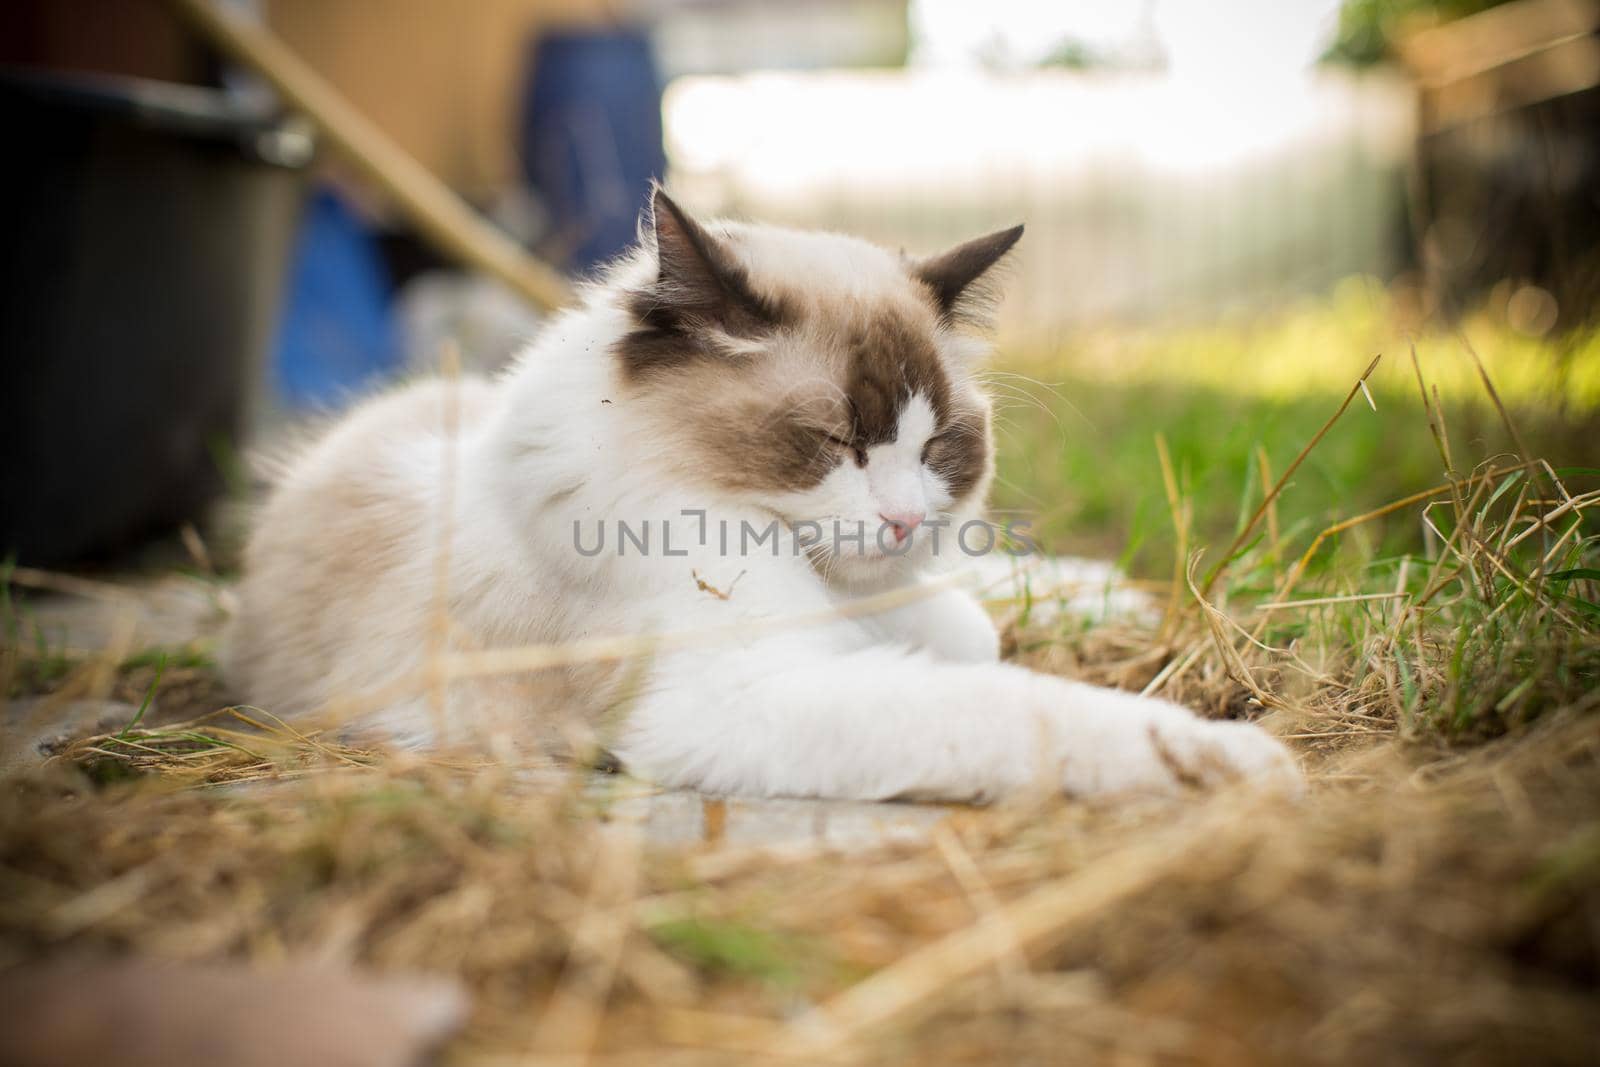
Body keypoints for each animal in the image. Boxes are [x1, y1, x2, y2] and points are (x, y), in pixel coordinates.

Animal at [222, 187, 1299, 799]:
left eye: (937, 447)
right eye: (833, 444)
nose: (905, 519)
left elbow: (971, 631)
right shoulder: (737, 696)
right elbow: (1016, 708)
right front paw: (1241, 763)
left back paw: (1115, 592)